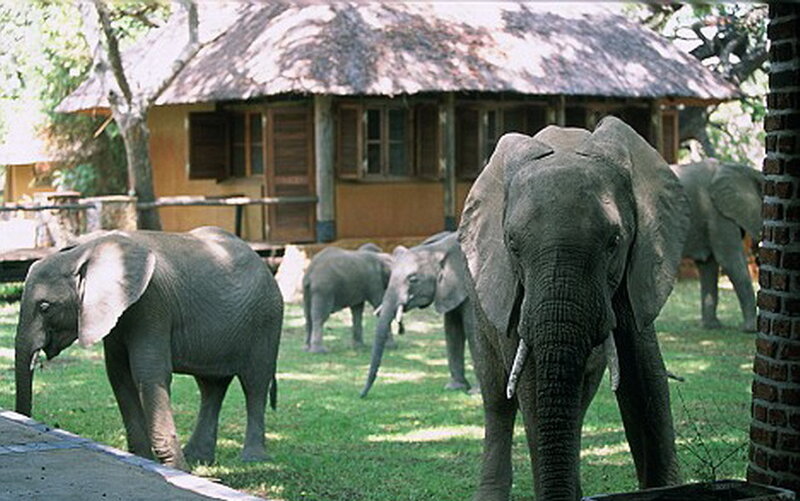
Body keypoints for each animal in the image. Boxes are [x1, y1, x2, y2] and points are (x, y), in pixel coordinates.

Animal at [14, 227, 283, 472]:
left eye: (45, 307)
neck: (86, 249)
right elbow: (119, 377)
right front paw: (146, 461)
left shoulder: (151, 305)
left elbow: (149, 374)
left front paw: (178, 471)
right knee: (211, 387)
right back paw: (198, 458)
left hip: (266, 319)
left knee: (255, 383)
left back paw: (252, 459)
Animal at [360, 231, 477, 398]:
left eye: (413, 280)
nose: (361, 395)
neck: (438, 249)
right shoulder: (449, 290)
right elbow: (452, 330)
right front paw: (455, 387)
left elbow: (473, 330)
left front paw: (476, 392)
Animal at [458, 116, 688, 500]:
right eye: (512, 246)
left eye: (614, 242)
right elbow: (532, 388)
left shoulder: (637, 269)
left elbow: (645, 380)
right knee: (497, 400)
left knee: (578, 401)